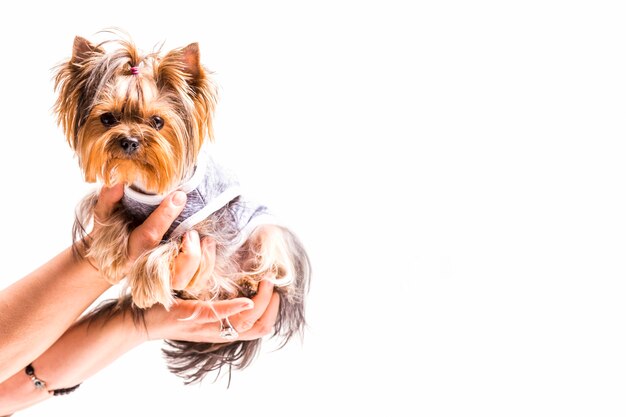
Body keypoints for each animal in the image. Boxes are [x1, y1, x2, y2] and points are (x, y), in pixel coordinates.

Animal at [53, 34, 310, 382]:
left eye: (157, 122)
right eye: (107, 119)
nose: (129, 141)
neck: (149, 187)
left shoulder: (208, 229)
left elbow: (174, 245)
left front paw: (146, 279)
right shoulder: (122, 201)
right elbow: (115, 218)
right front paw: (110, 250)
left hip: (266, 228)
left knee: (275, 257)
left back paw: (252, 280)